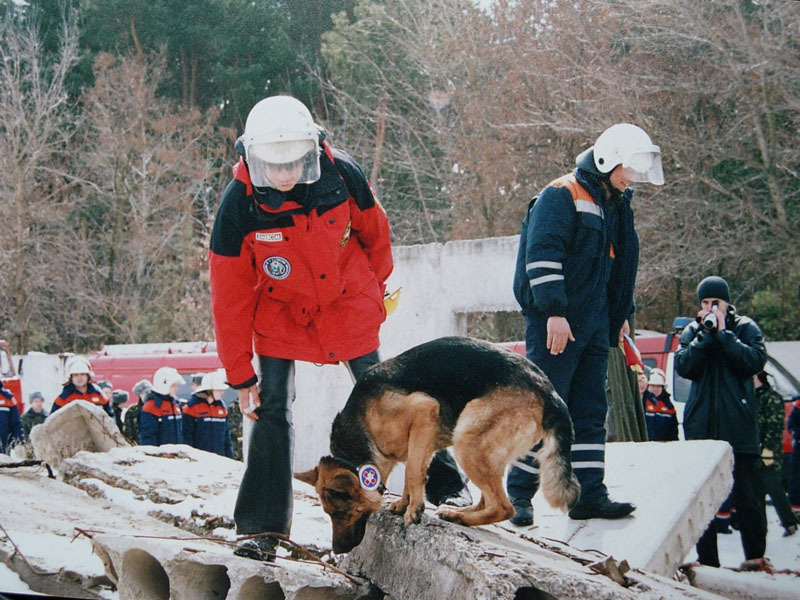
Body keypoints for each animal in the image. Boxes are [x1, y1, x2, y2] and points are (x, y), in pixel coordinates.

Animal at [296, 336, 580, 552]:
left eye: (340, 514)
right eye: (329, 514)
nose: (337, 551)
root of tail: (549, 391)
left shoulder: (424, 411)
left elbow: (412, 472)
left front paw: (414, 510)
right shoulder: (421, 442)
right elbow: (413, 471)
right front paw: (403, 504)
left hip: (468, 438)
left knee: (504, 507)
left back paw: (460, 517)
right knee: (488, 499)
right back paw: (459, 514)